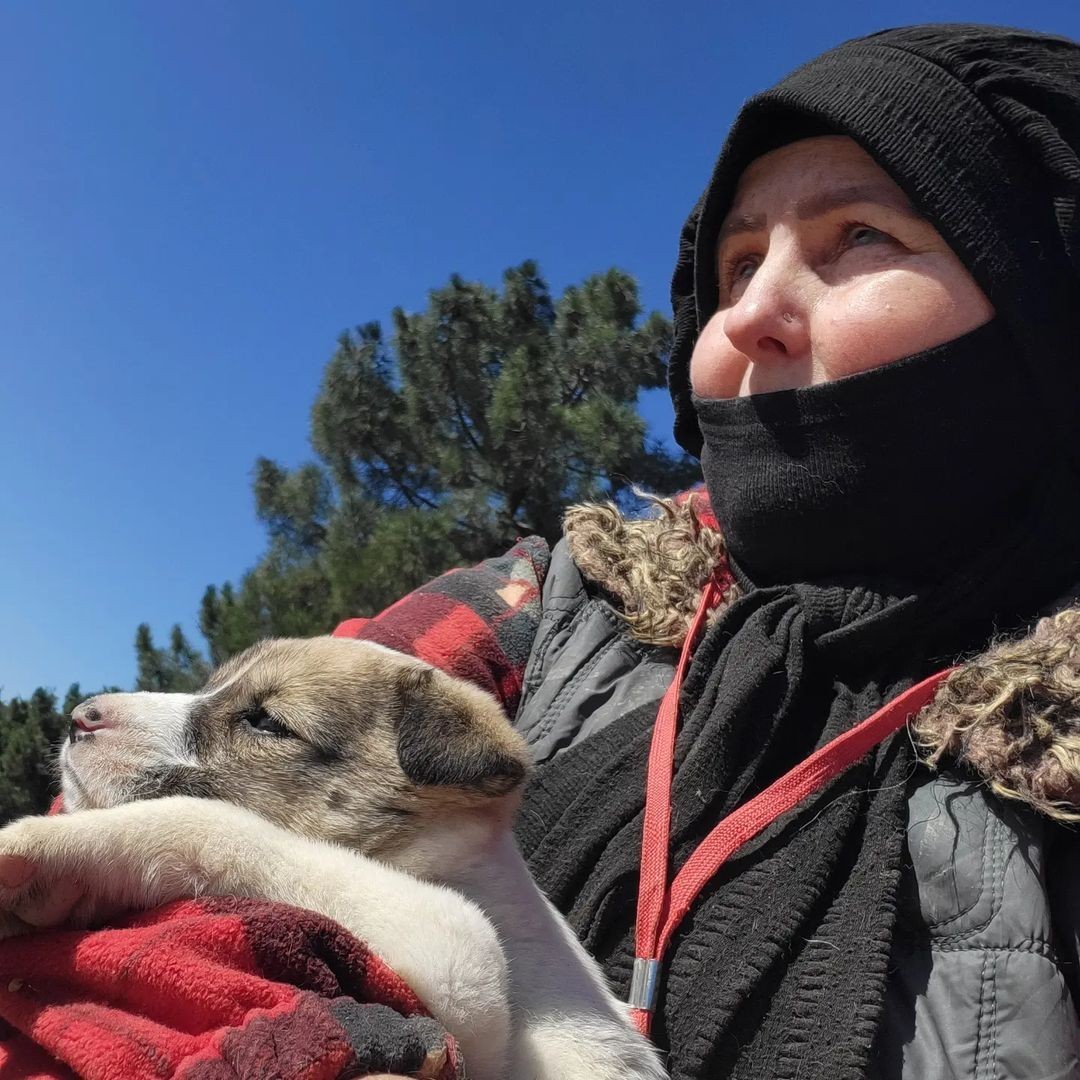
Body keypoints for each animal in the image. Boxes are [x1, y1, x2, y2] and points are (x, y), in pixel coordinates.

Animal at [0, 635, 665, 1080]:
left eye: (267, 721)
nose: (80, 717)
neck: (457, 863)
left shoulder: (466, 973)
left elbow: (220, 824)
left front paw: (49, 852)